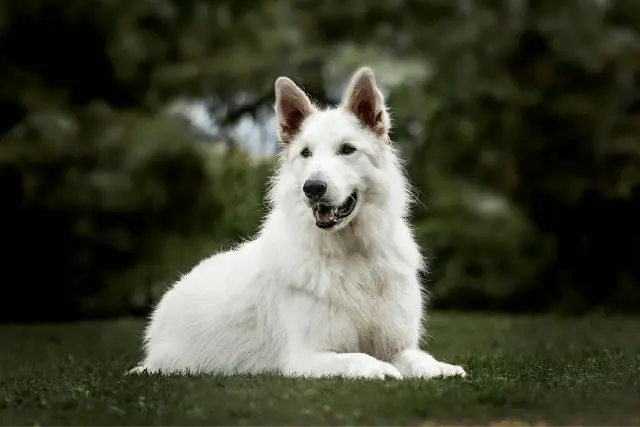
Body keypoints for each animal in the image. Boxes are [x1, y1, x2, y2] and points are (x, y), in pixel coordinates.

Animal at [131, 67, 470, 382]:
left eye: (347, 149)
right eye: (306, 153)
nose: (313, 188)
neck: (352, 254)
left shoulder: (398, 346)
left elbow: (418, 357)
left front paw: (439, 367)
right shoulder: (307, 358)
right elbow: (357, 357)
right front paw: (378, 368)